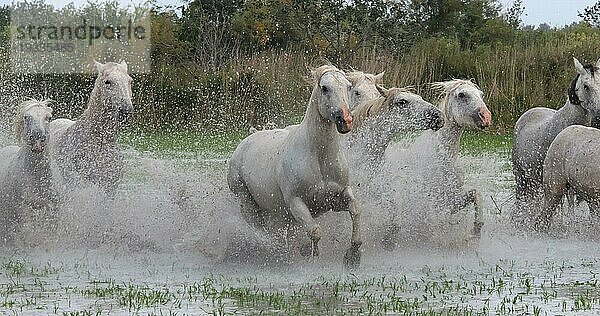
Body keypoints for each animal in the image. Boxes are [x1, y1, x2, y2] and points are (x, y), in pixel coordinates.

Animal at [0, 100, 56, 243]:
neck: (36, 178)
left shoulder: (51, 208)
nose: (37, 138)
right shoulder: (22, 208)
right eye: (26, 117)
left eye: (48, 117)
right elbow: (25, 233)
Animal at [227, 65, 360, 268]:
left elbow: (355, 209)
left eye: (348, 86)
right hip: (247, 202)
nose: (345, 120)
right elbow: (314, 231)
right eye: (324, 88)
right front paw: (308, 251)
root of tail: (242, 145)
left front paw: (353, 255)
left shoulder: (336, 198)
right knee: (259, 228)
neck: (319, 158)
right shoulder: (296, 202)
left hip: (277, 214)